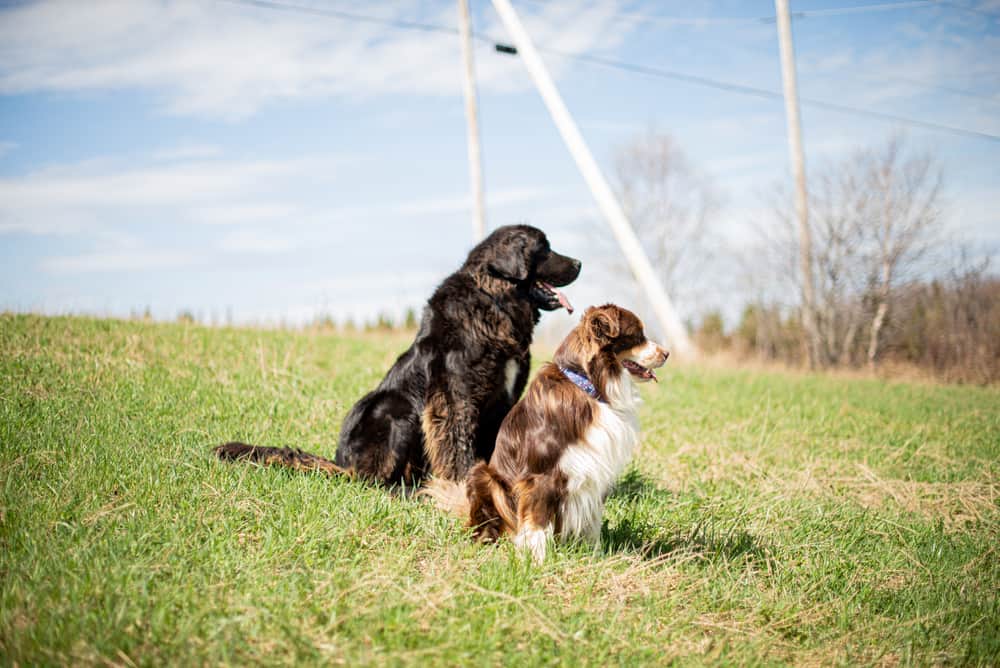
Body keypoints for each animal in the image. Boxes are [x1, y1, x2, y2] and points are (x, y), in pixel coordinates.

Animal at [215, 224, 584, 486]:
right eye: (545, 249)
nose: (579, 262)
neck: (495, 301)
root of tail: (342, 463)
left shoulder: (502, 400)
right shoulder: (456, 397)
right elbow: (458, 444)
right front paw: (464, 486)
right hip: (395, 408)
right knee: (374, 481)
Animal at [426, 306, 668, 560]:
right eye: (637, 336)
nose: (667, 354)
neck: (588, 385)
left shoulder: (595, 470)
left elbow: (592, 521)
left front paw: (594, 556)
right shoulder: (541, 475)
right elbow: (537, 521)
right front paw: (536, 559)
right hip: (483, 475)